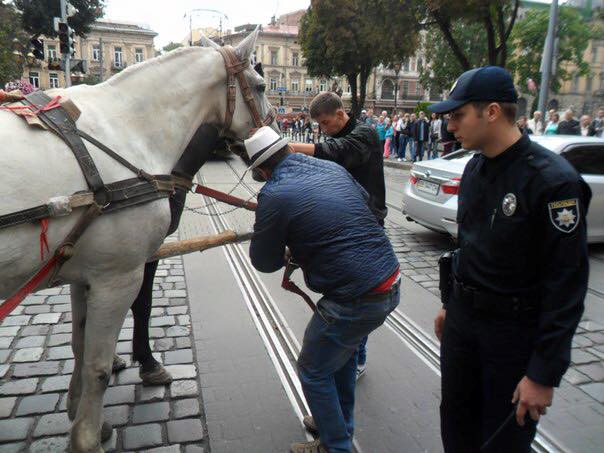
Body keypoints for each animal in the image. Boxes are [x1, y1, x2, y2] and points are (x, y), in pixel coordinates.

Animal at [0, 30, 272, 450]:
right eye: (260, 86)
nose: (278, 133)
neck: (129, 129)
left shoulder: (84, 272)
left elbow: (80, 345)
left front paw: (82, 411)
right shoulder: (121, 275)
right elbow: (101, 359)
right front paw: (88, 436)